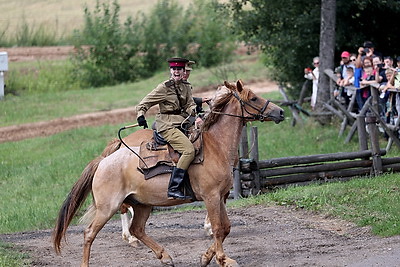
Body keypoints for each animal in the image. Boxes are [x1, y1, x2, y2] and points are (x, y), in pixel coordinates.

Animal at [53, 80, 284, 267]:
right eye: (253, 98)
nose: (280, 112)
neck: (215, 146)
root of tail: (103, 161)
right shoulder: (211, 197)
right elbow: (219, 228)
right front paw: (222, 259)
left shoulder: (219, 196)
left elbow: (226, 227)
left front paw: (206, 257)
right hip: (107, 207)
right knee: (90, 233)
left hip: (142, 204)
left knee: (138, 229)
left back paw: (165, 256)